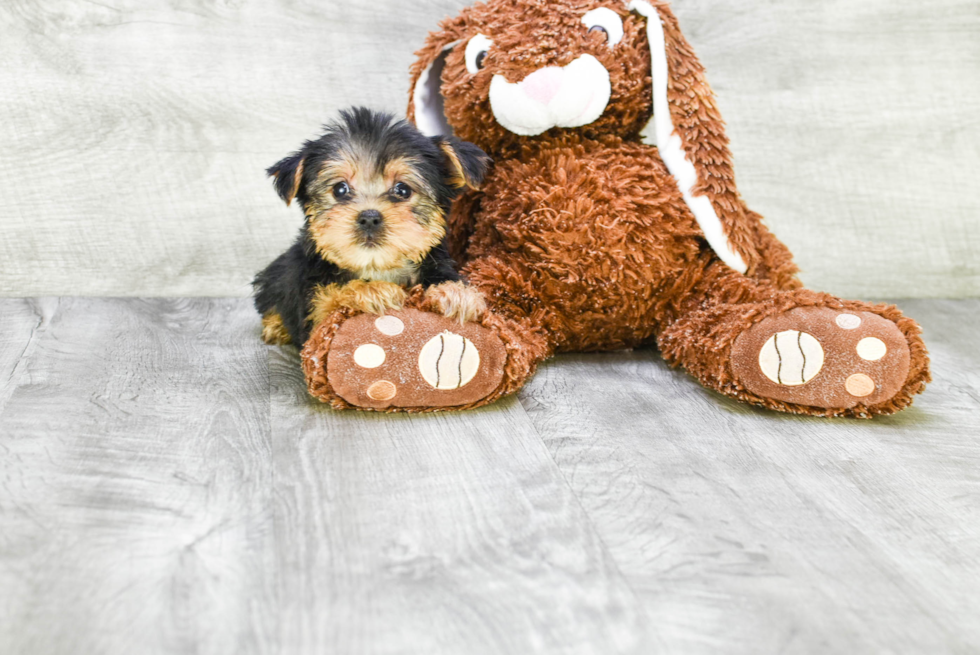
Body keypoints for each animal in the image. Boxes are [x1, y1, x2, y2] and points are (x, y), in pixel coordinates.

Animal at [253, 106, 490, 348]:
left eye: (402, 190)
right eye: (340, 189)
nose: (369, 217)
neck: (376, 267)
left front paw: (457, 293)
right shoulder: (313, 310)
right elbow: (331, 300)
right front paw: (371, 290)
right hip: (276, 277)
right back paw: (276, 326)